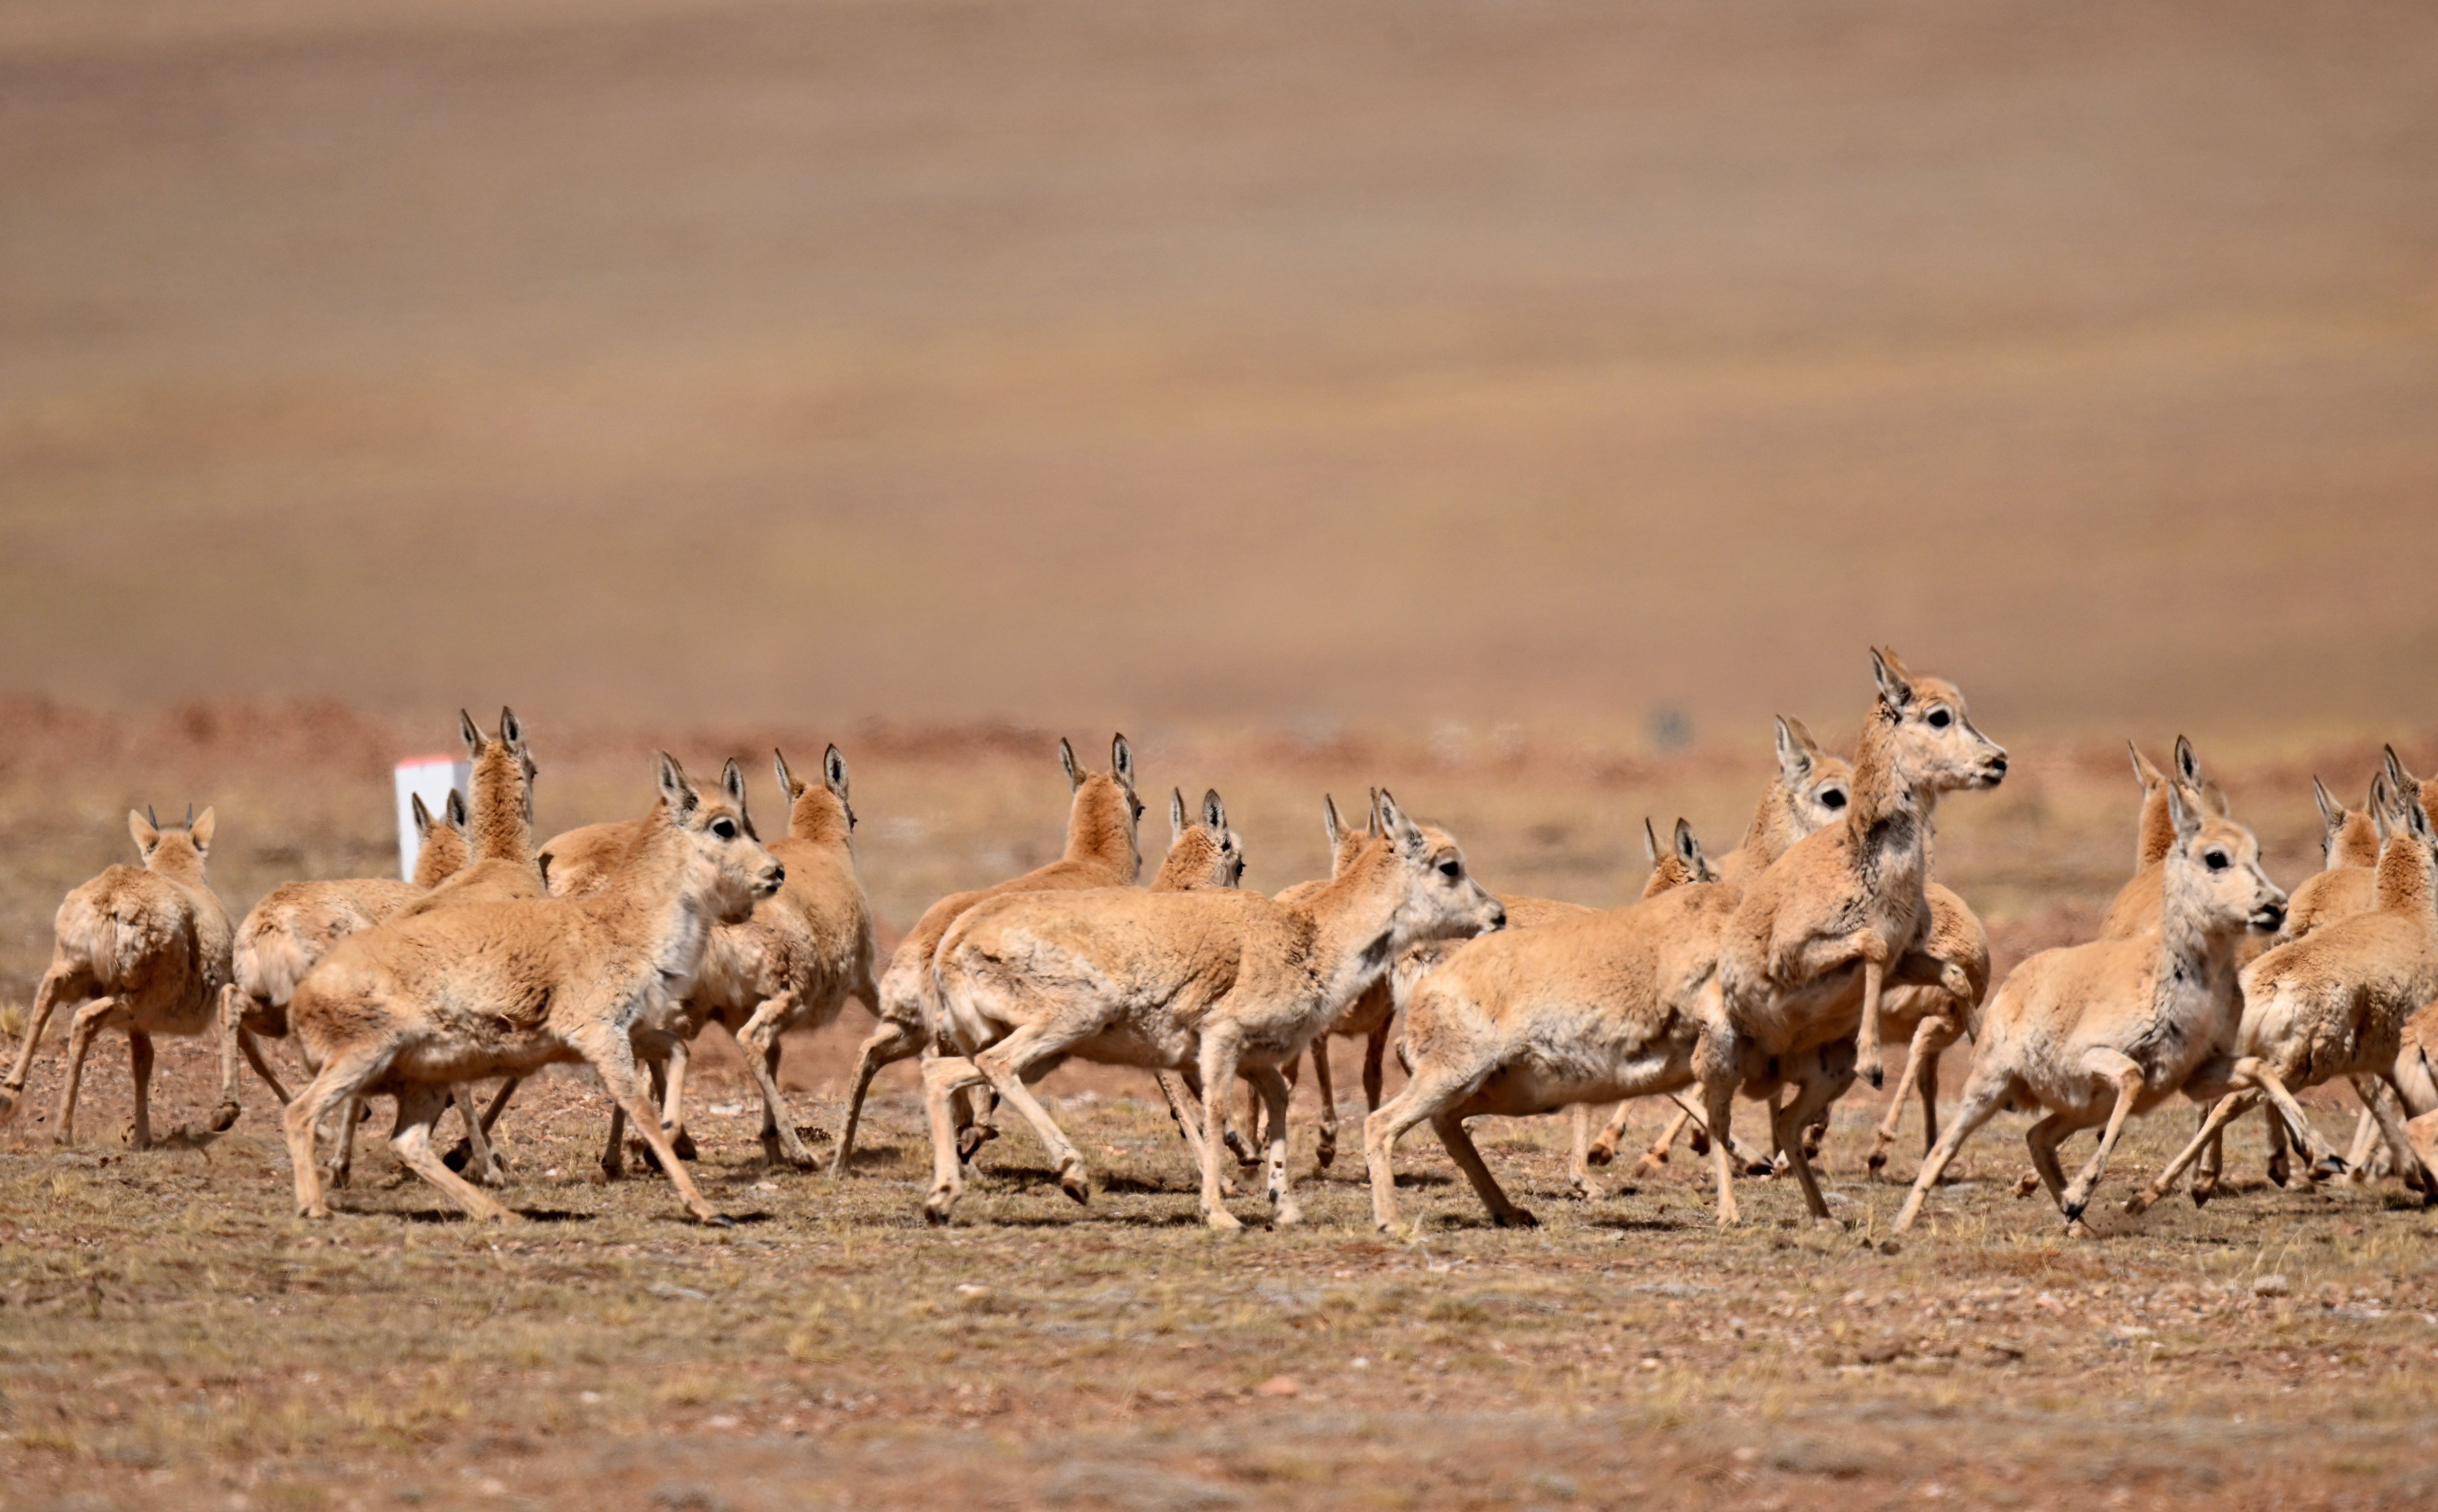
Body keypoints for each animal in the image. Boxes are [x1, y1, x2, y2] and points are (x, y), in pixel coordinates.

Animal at [1, 815, 244, 1146]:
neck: (181, 874)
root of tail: (111, 893)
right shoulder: (227, 988)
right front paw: (227, 1112)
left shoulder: (137, 1024)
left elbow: (143, 1061)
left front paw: (142, 1137)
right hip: (134, 997)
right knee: (84, 1019)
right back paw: (62, 1130)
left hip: (80, 975)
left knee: (47, 994)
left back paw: (11, 1091)